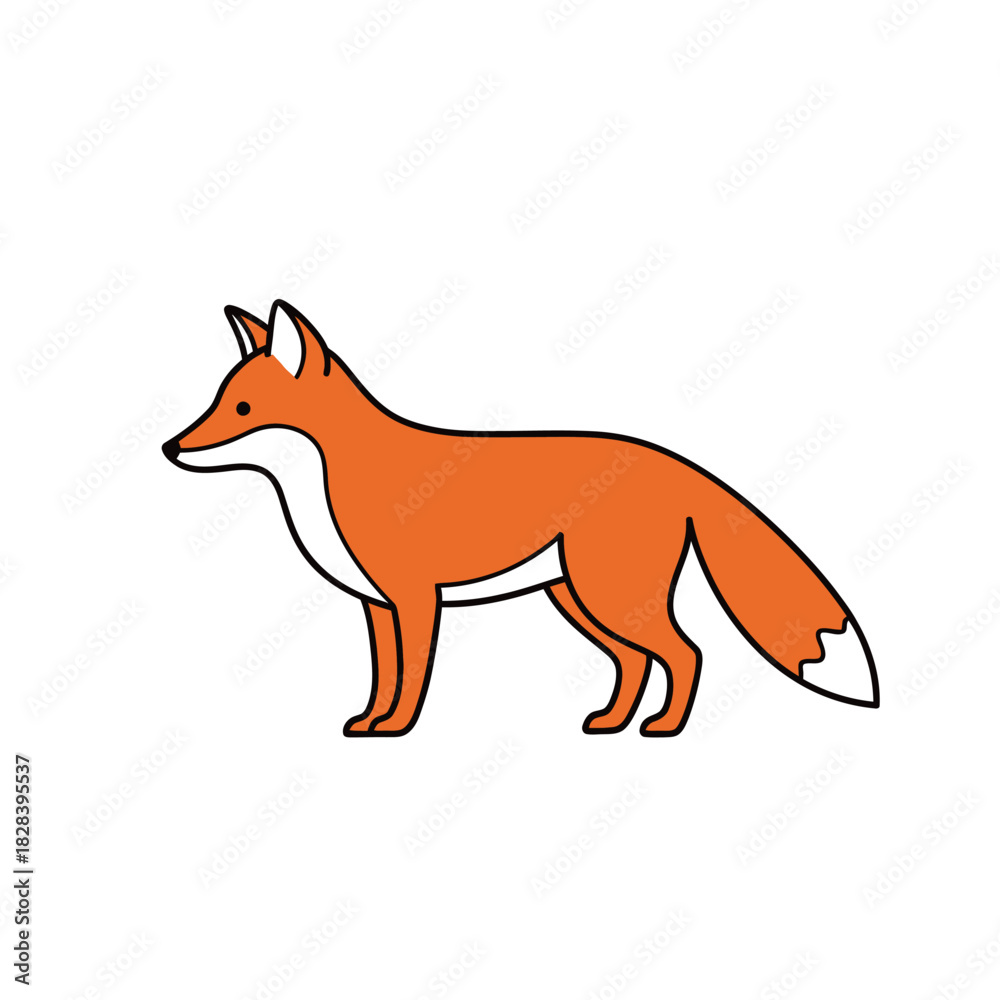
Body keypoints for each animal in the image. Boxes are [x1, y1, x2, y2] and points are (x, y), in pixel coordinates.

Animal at [163, 299, 878, 737]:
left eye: (244, 408)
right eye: (218, 400)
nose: (171, 448)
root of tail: (672, 460)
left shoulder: (415, 599)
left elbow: (412, 678)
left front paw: (397, 729)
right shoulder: (376, 606)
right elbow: (383, 675)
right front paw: (369, 722)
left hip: (609, 597)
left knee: (687, 652)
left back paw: (664, 729)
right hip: (581, 601)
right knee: (637, 663)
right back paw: (611, 723)